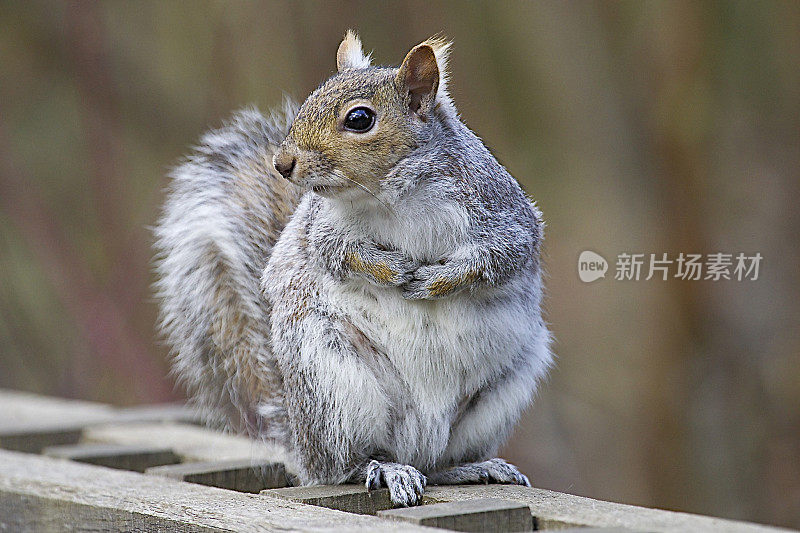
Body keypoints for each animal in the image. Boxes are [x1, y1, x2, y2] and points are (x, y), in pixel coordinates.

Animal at [156, 31, 556, 504]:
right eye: (310, 98)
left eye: (360, 119)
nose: (283, 164)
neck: (388, 194)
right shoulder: (322, 229)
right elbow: (336, 254)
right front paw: (394, 270)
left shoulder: (502, 212)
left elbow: (502, 254)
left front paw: (436, 280)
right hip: (334, 386)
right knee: (345, 466)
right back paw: (386, 469)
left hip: (501, 390)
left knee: (437, 464)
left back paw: (472, 466)